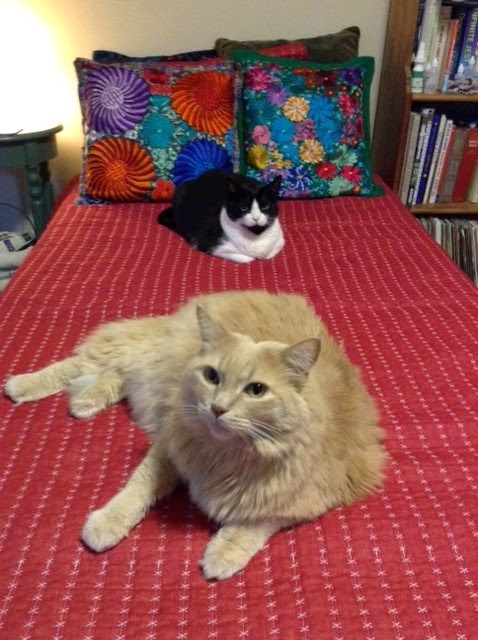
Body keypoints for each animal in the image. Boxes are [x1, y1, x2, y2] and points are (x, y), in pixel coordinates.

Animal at [4, 290, 387, 580]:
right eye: (212, 376)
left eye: (256, 390)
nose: (217, 408)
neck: (229, 455)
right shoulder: (169, 447)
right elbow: (136, 489)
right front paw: (107, 523)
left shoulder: (312, 497)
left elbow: (255, 523)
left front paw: (224, 553)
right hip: (145, 357)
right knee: (83, 364)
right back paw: (22, 385)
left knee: (114, 376)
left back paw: (85, 400)